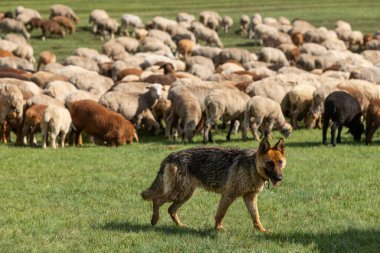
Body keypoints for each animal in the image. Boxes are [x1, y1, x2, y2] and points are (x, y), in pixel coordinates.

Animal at [141, 137, 286, 232]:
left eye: (280, 162)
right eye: (269, 163)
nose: (279, 178)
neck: (253, 166)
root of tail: (170, 156)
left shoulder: (250, 198)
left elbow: (255, 216)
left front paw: (261, 230)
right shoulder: (229, 195)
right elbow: (220, 214)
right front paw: (218, 228)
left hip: (184, 195)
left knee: (171, 210)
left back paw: (180, 226)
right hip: (178, 193)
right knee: (157, 200)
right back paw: (154, 219)